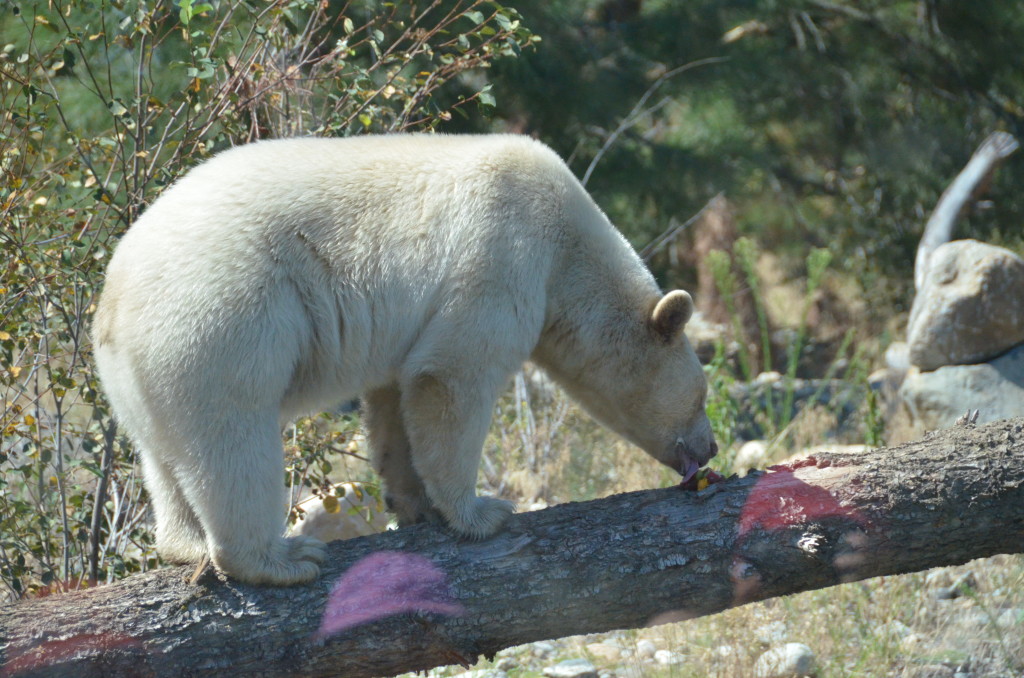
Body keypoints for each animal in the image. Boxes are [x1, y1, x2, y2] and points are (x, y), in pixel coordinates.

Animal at [93, 134, 718, 586]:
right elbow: (452, 376)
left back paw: (185, 543)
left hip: (142, 374)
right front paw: (482, 514)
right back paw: (283, 560)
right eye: (701, 395)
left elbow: (398, 398)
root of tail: (113, 298)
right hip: (217, 325)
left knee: (164, 456)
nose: (710, 449)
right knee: (234, 440)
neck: (571, 248)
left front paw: (415, 504)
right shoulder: (504, 250)